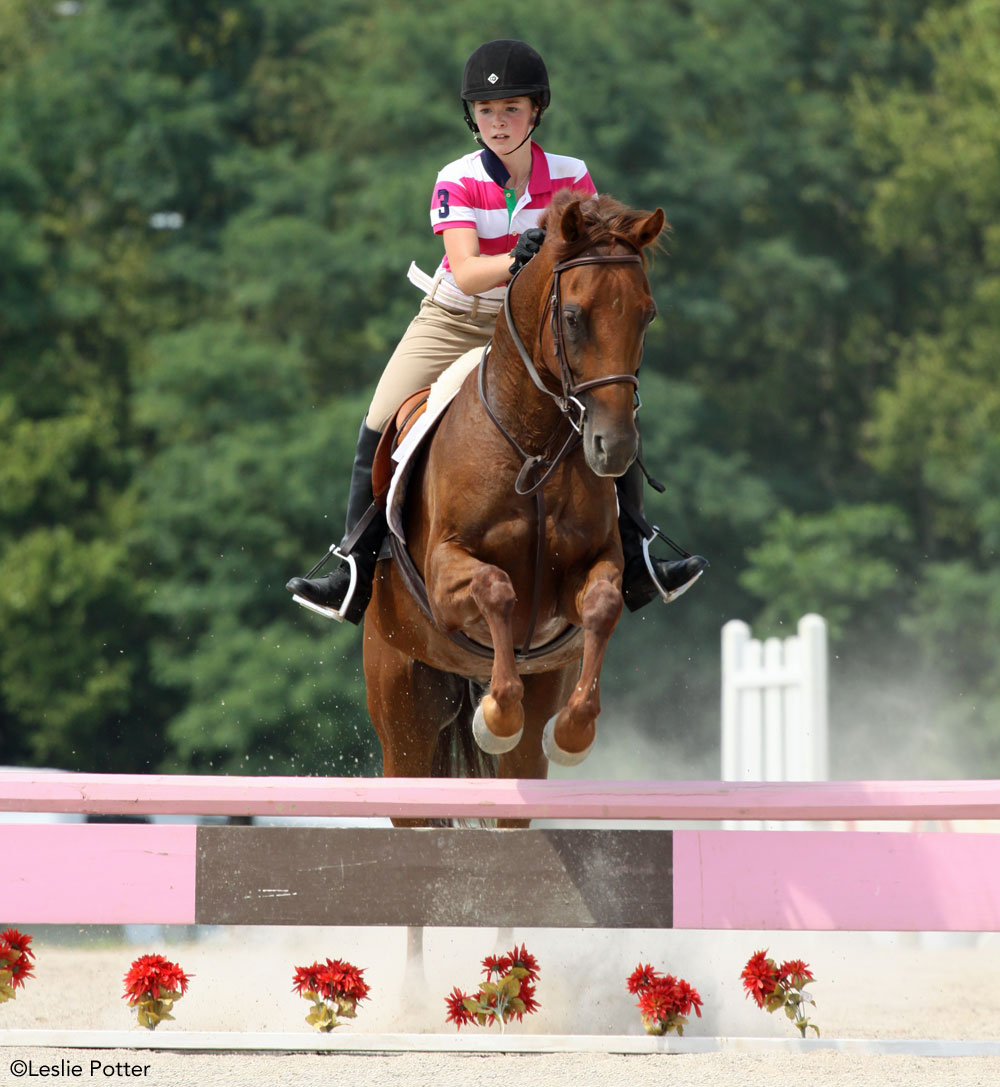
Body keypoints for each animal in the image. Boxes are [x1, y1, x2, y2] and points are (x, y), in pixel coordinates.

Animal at [360, 189, 665, 821]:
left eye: (646, 314)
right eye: (573, 317)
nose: (615, 447)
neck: (532, 441)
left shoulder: (585, 577)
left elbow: (601, 605)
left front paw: (572, 734)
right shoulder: (445, 577)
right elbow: (495, 588)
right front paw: (497, 717)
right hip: (401, 703)